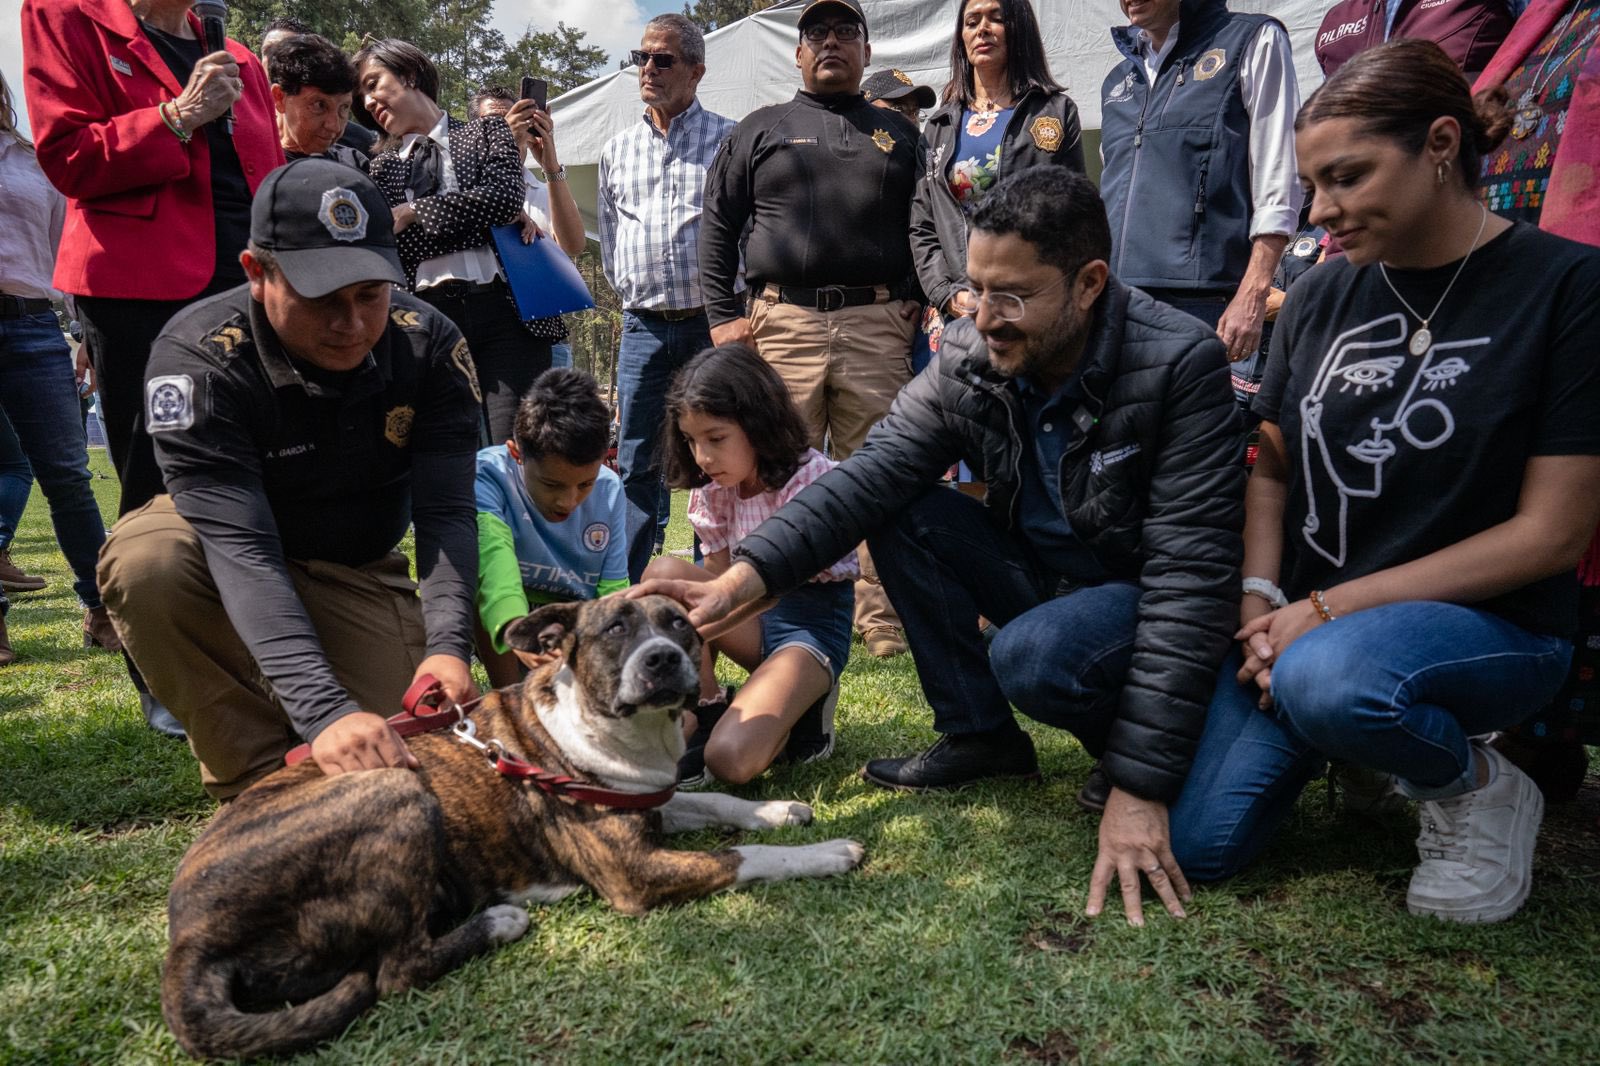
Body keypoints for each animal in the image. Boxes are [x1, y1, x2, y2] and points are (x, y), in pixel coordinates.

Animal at [160, 592, 864, 1056]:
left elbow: (718, 803)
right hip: (394, 790)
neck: (616, 729)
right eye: (615, 629)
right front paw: (825, 852)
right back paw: (498, 921)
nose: (663, 658)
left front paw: (777, 811)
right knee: (395, 971)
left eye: (682, 626)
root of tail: (188, 939)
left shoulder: (650, 802)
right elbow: (744, 857)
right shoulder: (632, 872)